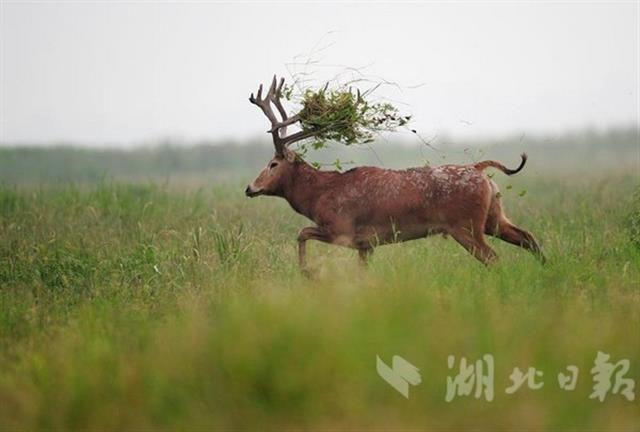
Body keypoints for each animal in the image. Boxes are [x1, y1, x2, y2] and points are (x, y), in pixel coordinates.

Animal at [245, 76, 544, 272]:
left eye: (273, 163)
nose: (250, 188)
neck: (319, 195)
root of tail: (479, 170)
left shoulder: (342, 229)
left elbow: (301, 232)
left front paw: (308, 273)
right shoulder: (366, 245)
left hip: (465, 225)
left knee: (494, 257)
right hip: (493, 217)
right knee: (528, 238)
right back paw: (546, 271)